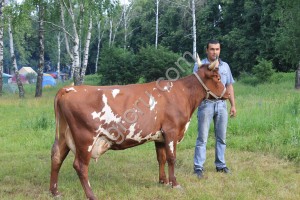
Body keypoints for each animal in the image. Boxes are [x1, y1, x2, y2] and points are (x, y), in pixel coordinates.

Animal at [49, 54, 230, 200]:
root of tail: (69, 88)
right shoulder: (172, 131)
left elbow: (161, 158)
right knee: (80, 165)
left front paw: (163, 181)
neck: (182, 93)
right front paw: (175, 183)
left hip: (64, 135)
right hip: (85, 137)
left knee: (57, 157)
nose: (228, 94)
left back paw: (54, 192)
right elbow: (172, 158)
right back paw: (91, 195)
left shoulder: (160, 135)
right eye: (217, 78)